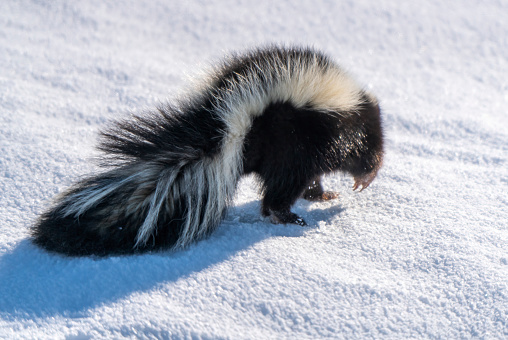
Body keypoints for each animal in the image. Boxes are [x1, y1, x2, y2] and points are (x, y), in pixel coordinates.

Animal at [31, 45, 382, 258]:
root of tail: (231, 121)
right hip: (287, 142)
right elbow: (347, 156)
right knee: (280, 190)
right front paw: (353, 181)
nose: (366, 178)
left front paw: (325, 194)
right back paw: (289, 218)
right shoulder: (333, 131)